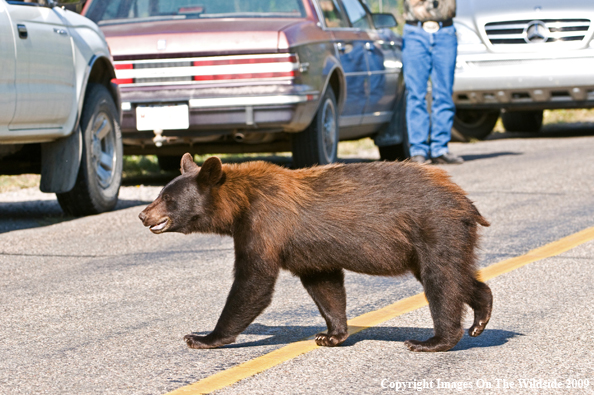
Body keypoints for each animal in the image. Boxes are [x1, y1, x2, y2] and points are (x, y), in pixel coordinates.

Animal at [139, 155, 490, 352]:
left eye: (167, 198)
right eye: (160, 193)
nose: (143, 215)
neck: (239, 204)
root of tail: (466, 200)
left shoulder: (265, 224)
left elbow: (254, 281)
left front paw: (203, 337)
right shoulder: (309, 251)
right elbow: (325, 285)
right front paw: (332, 334)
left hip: (435, 228)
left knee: (441, 279)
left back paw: (433, 341)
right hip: (432, 241)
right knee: (454, 275)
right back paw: (481, 314)